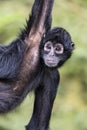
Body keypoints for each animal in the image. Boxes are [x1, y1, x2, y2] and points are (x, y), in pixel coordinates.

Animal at [0, 0, 74, 130]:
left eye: (58, 49)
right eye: (48, 47)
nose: (51, 55)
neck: (40, 64)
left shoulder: (53, 76)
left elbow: (38, 125)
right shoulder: (34, 38)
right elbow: (43, 8)